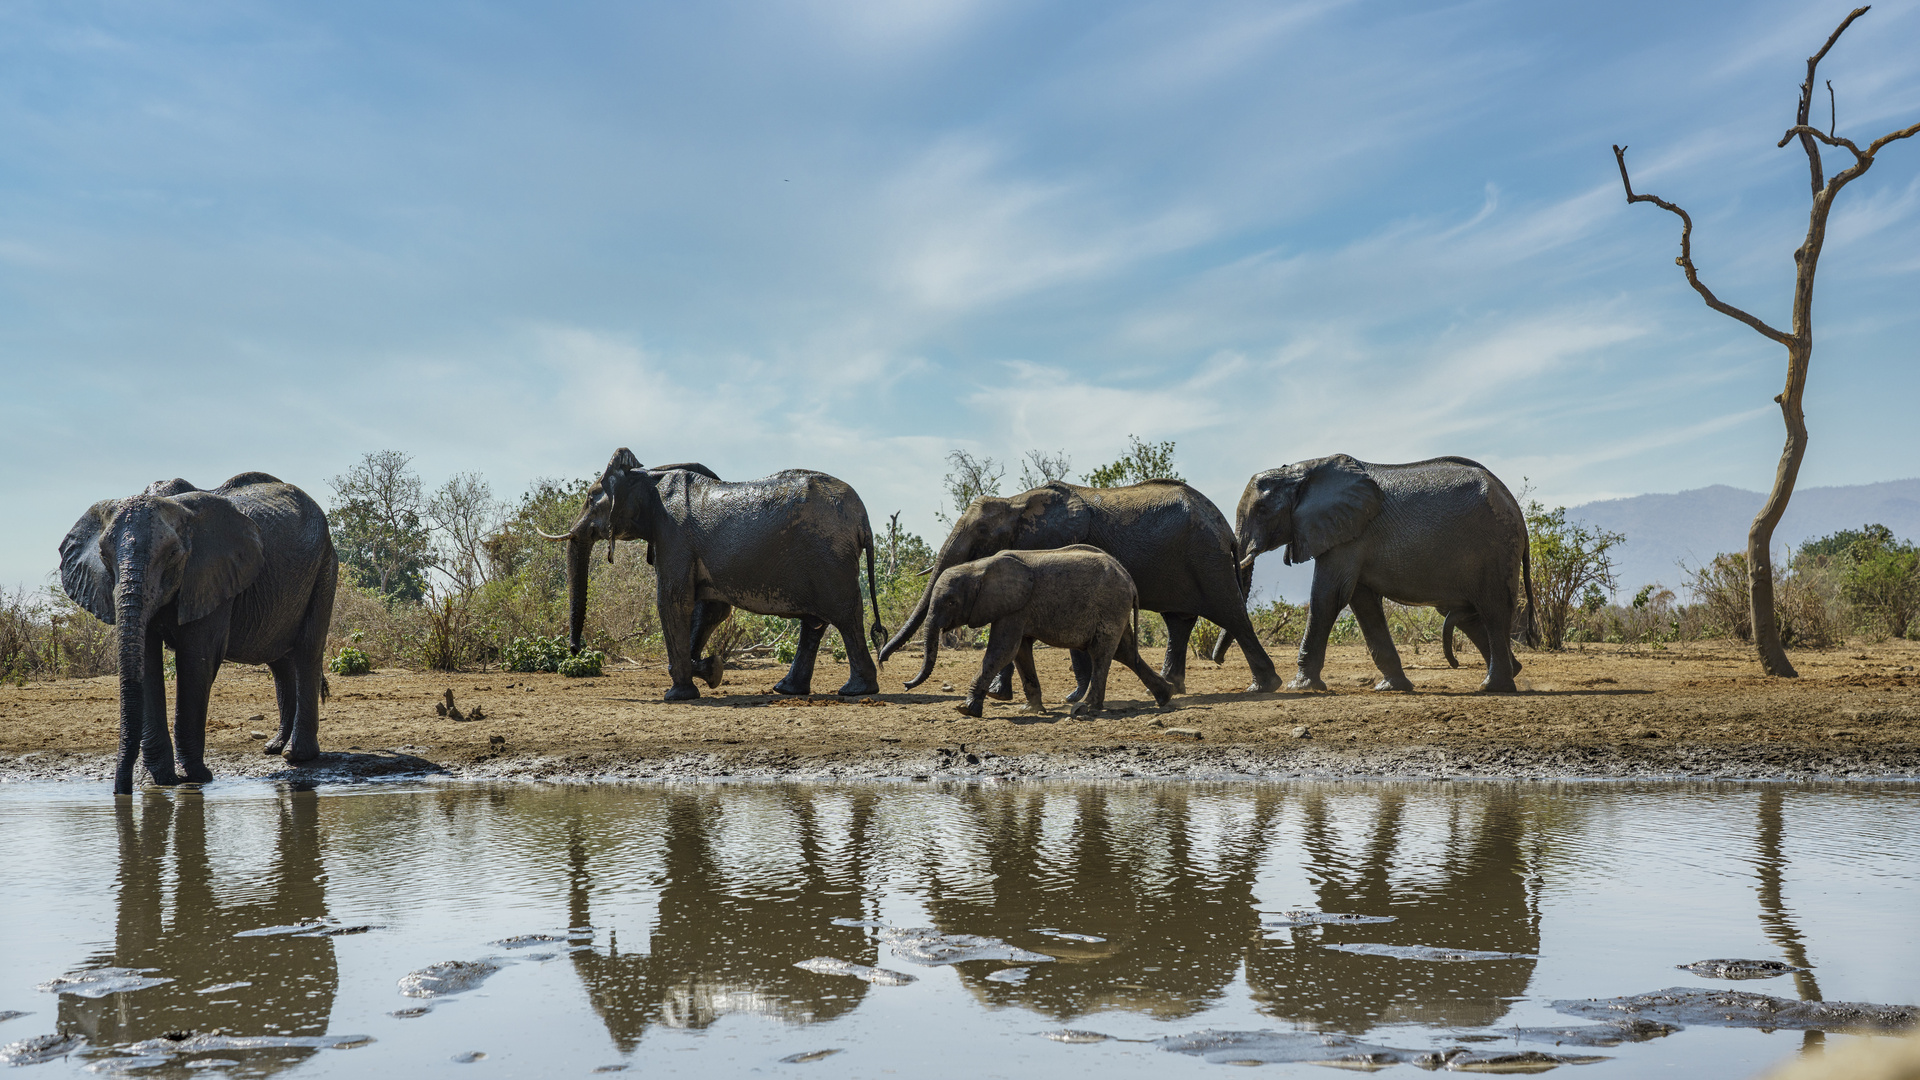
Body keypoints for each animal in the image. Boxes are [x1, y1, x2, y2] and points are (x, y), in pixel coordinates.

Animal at [60, 470, 337, 791]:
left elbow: (196, 659)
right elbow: (147, 661)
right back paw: (275, 747)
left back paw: (296, 755)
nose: (122, 791)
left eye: (172, 554)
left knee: (307, 650)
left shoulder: (211, 575)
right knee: (279, 661)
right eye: (104, 556)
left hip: (324, 565)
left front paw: (194, 777)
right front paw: (161, 780)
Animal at [549, 447, 890, 699]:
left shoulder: (673, 536)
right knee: (815, 623)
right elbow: (710, 610)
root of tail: (863, 519)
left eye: (590, 498)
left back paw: (855, 691)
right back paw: (787, 689)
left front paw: (679, 693)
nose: (575, 649)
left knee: (845, 616)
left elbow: (673, 602)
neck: (647, 477)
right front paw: (710, 670)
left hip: (830, 558)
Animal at [879, 476, 1274, 691]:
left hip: (1207, 558)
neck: (1016, 501)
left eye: (981, 532)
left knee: (1231, 614)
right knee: (1178, 621)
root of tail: (1225, 527)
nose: (884, 663)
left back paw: (1264, 686)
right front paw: (998, 695)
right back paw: (1173, 688)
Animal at [898, 545, 1167, 714]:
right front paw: (1031, 710)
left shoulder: (1016, 606)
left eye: (951, 602)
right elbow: (1020, 652)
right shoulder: (1017, 608)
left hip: (1111, 604)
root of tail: (1130, 580)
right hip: (1116, 607)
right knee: (1125, 652)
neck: (978, 567)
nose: (905, 684)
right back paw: (1166, 697)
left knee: (1101, 652)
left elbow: (1003, 650)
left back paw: (1085, 708)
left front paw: (966, 709)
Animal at [1228, 451, 1543, 687]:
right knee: (1470, 615)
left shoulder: (1348, 535)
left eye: (1262, 511)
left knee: (1493, 610)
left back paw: (1493, 686)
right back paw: (1513, 671)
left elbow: (1329, 598)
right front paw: (1391, 687)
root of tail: (1513, 503)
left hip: (1496, 547)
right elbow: (1362, 602)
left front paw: (1301, 687)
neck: (1301, 471)